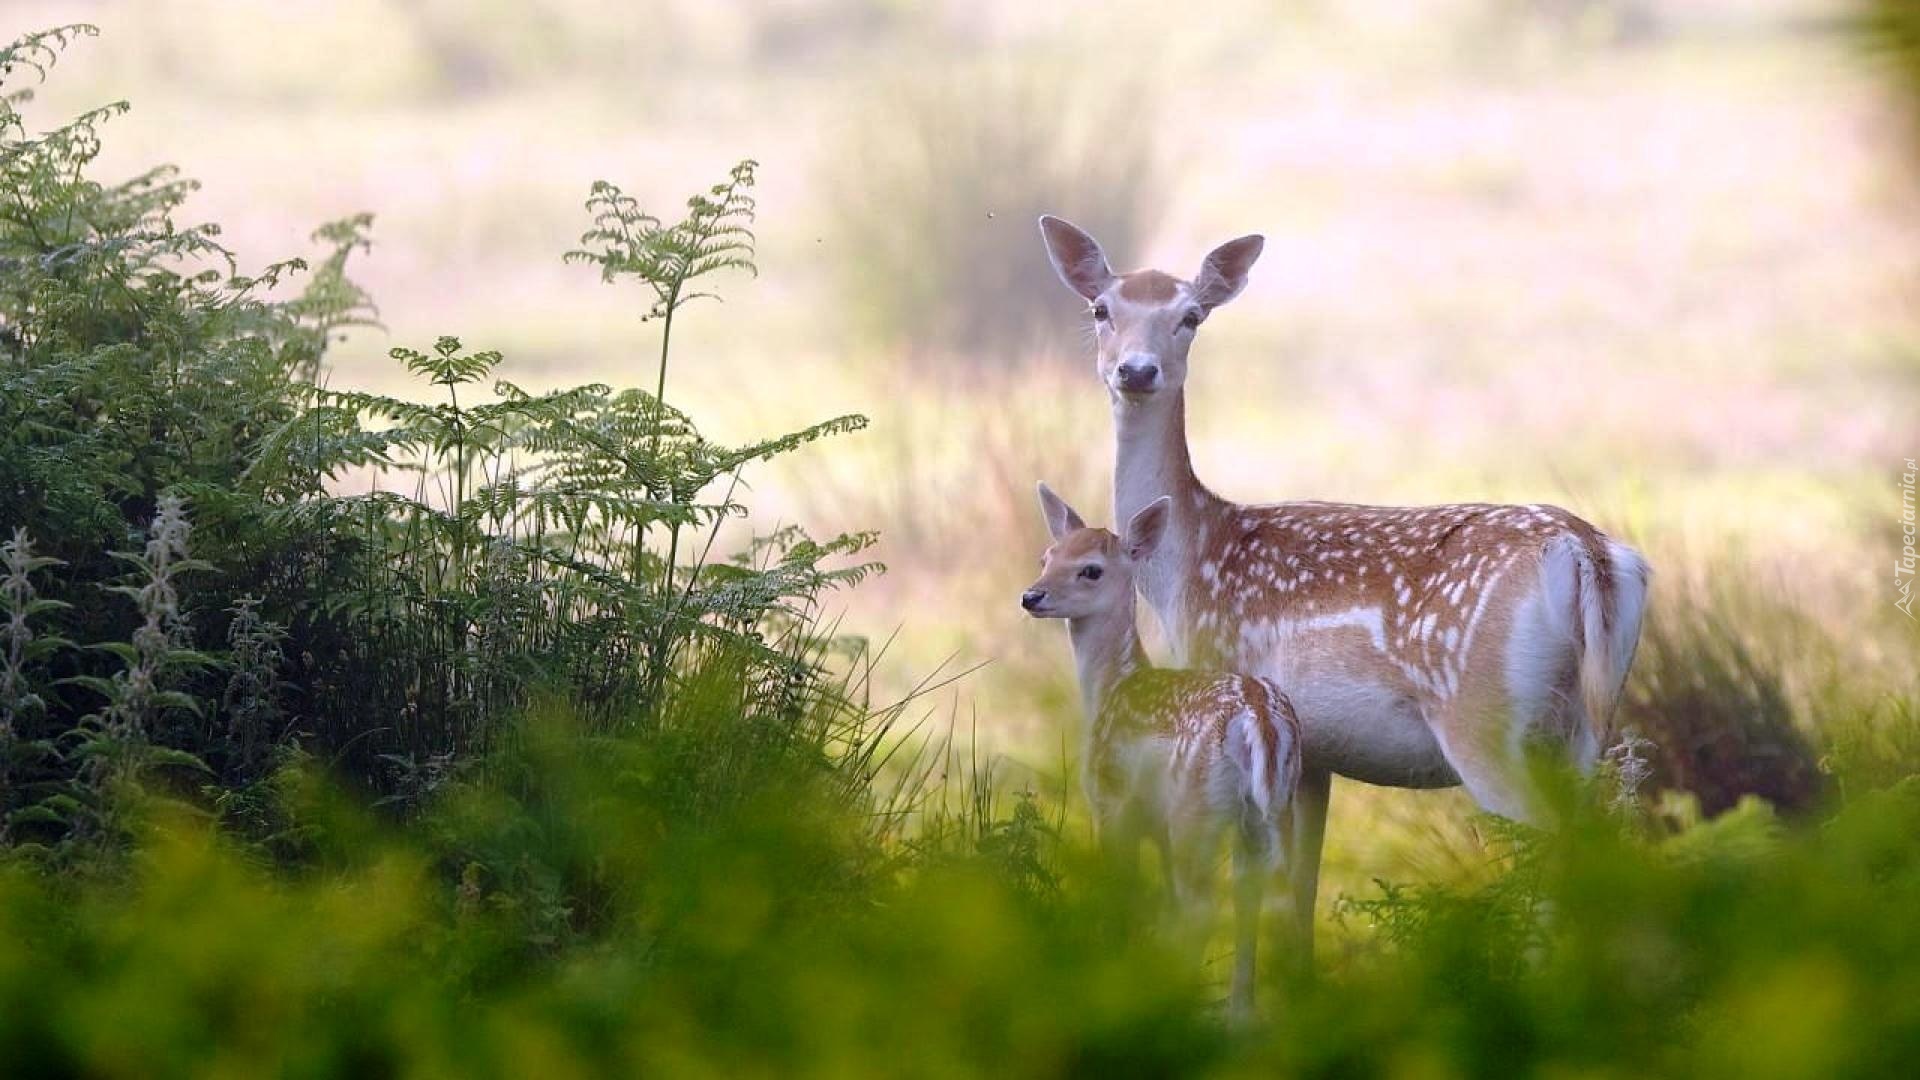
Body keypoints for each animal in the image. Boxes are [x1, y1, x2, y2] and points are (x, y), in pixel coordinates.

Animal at [1036, 214, 1651, 953]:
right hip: (1586, 722)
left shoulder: (1235, 679)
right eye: (1102, 310)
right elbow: (1300, 896)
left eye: (1190, 316)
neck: (1189, 564)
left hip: (1484, 716)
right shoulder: (1315, 755)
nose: (1136, 370)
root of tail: (1586, 553)